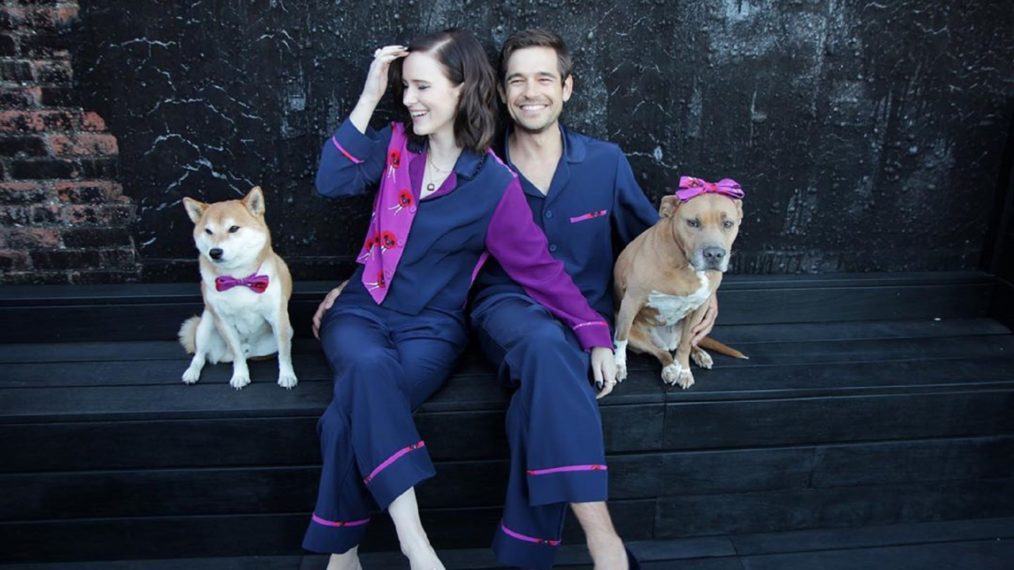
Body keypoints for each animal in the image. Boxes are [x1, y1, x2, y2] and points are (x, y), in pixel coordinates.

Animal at [179, 186, 298, 389]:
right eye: (208, 231)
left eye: (233, 228)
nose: (215, 252)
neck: (239, 278)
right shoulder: (224, 322)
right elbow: (237, 355)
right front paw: (240, 375)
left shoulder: (278, 317)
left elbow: (284, 354)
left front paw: (287, 375)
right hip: (206, 323)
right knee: (200, 356)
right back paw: (191, 373)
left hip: (287, 331)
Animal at [608, 176, 746, 385]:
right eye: (693, 223)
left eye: (728, 223)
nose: (714, 254)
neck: (686, 267)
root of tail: (667, 342)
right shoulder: (631, 302)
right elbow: (620, 339)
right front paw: (617, 366)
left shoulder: (701, 307)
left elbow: (686, 344)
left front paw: (684, 369)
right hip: (636, 335)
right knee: (661, 353)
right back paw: (670, 368)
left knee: (687, 342)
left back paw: (698, 355)